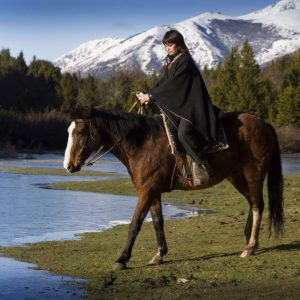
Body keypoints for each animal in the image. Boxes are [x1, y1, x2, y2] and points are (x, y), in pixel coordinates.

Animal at [63, 107, 284, 270]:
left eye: (80, 132)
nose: (68, 165)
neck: (143, 143)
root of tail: (264, 124)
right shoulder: (153, 192)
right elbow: (157, 222)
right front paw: (159, 255)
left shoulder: (146, 191)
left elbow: (135, 223)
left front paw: (122, 259)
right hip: (236, 176)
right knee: (253, 203)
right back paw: (249, 241)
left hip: (253, 173)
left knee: (257, 205)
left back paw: (250, 247)